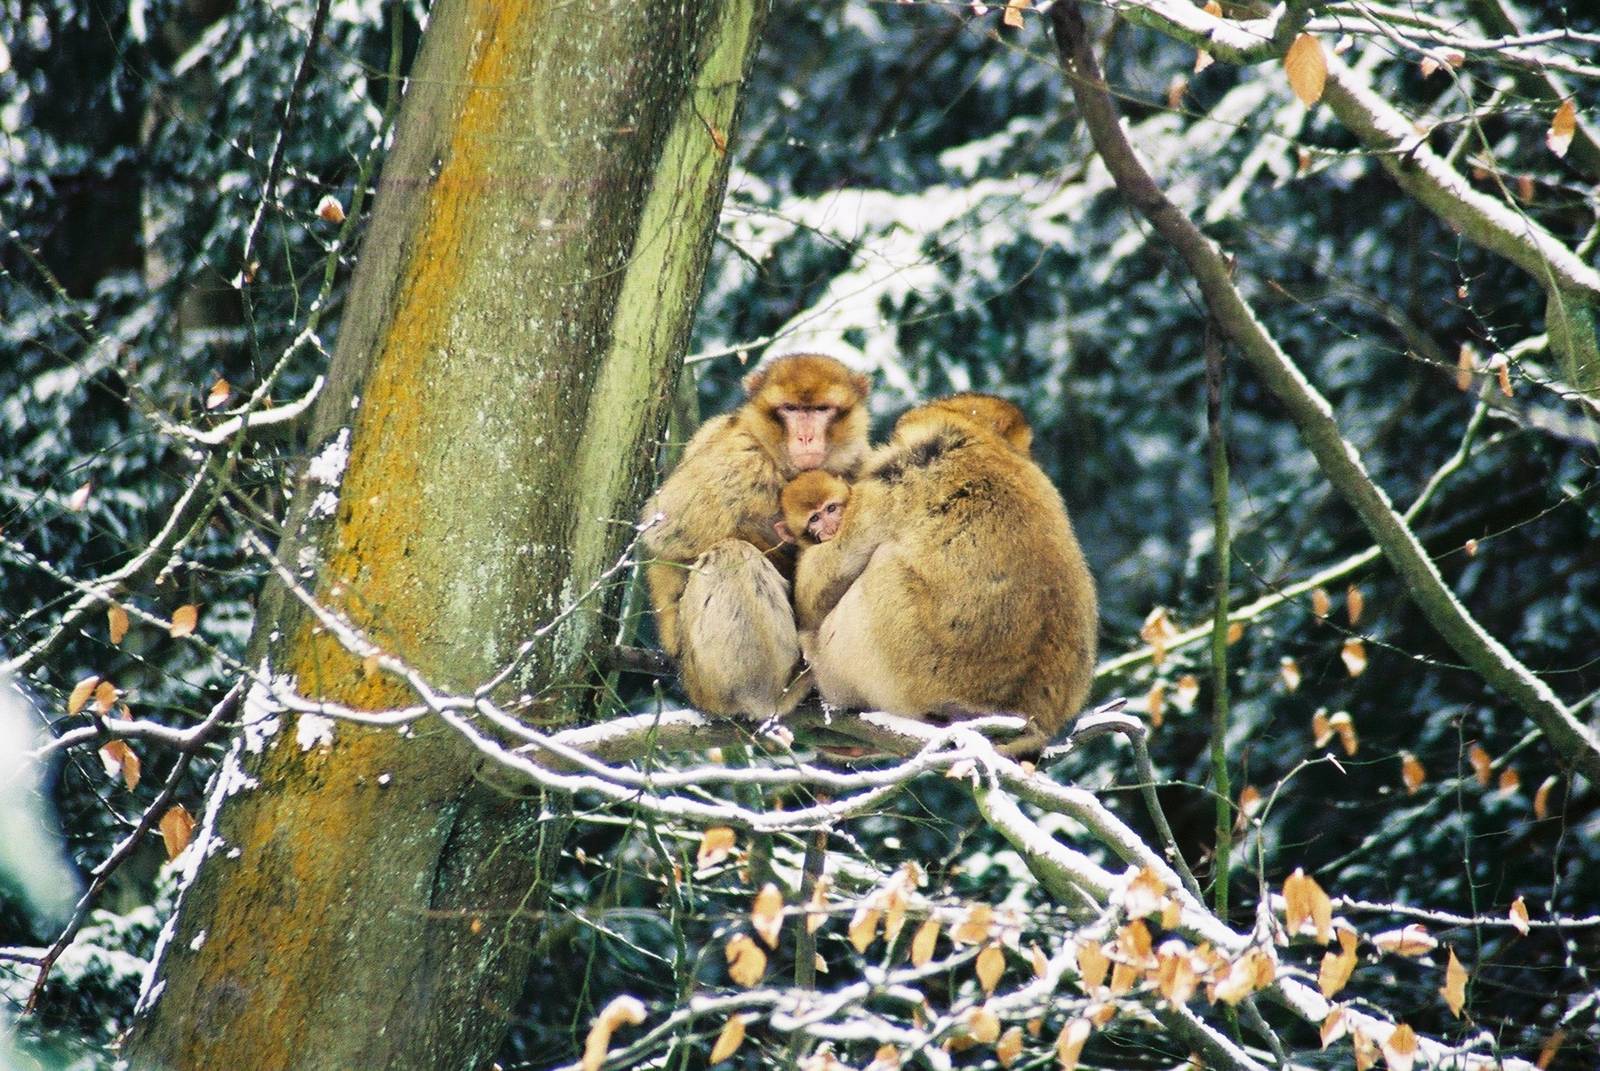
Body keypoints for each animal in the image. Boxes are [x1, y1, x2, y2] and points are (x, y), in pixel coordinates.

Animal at [641, 353, 871, 717]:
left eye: (821, 409)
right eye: (791, 409)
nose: (806, 437)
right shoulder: (743, 459)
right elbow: (665, 533)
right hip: (704, 678)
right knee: (731, 556)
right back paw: (772, 694)